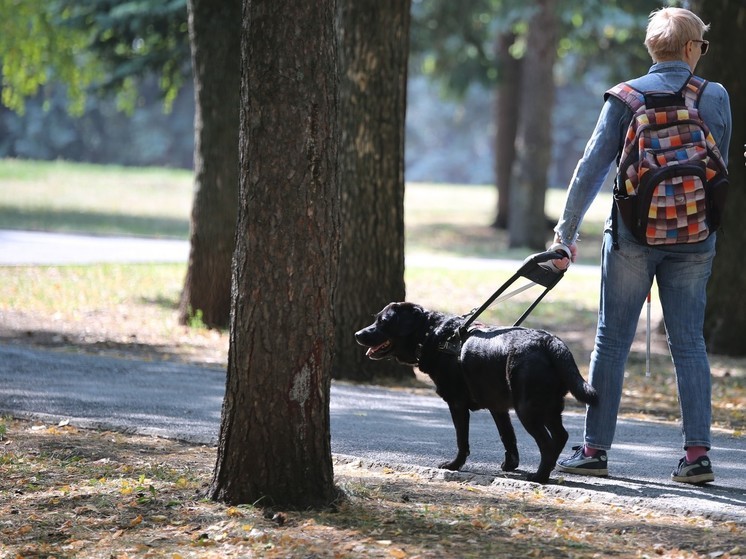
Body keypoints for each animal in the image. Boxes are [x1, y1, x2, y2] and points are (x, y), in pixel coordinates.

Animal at [352, 304, 596, 484]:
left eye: (384, 322)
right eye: (376, 319)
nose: (357, 334)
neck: (432, 336)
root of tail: (550, 341)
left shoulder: (457, 404)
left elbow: (462, 439)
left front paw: (453, 466)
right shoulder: (498, 407)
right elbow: (507, 436)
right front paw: (510, 465)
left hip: (527, 409)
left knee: (546, 442)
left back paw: (539, 476)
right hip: (550, 406)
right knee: (560, 436)